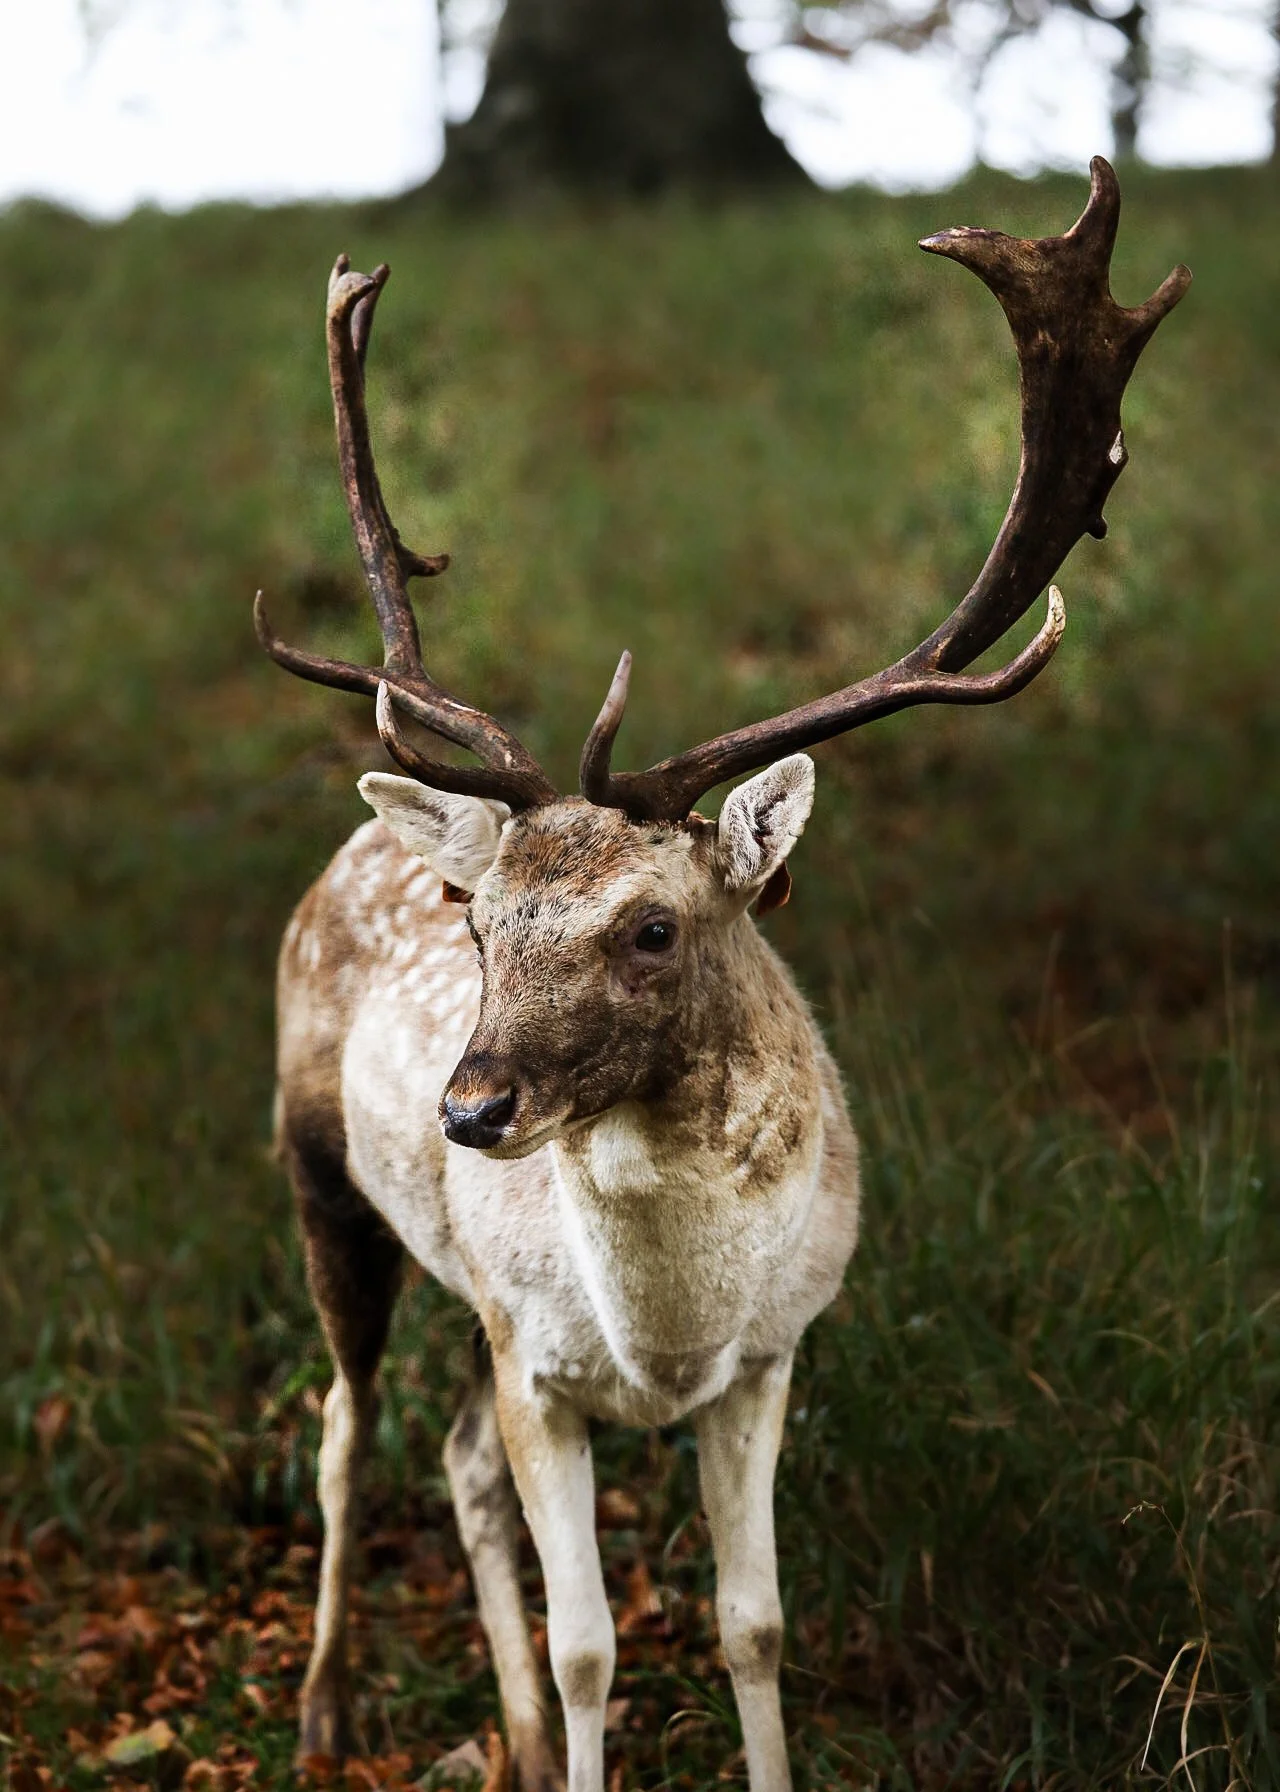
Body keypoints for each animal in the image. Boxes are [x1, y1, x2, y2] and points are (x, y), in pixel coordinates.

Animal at [254, 159, 1187, 1792]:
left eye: (652, 927)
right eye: (478, 921)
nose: (469, 1111)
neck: (665, 1339)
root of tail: (352, 844)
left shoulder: (769, 1354)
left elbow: (753, 1628)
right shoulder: (538, 1361)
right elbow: (590, 1648)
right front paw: (559, 1726)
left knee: (452, 1460)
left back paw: (500, 1738)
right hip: (318, 1175)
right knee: (343, 1424)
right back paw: (323, 1713)